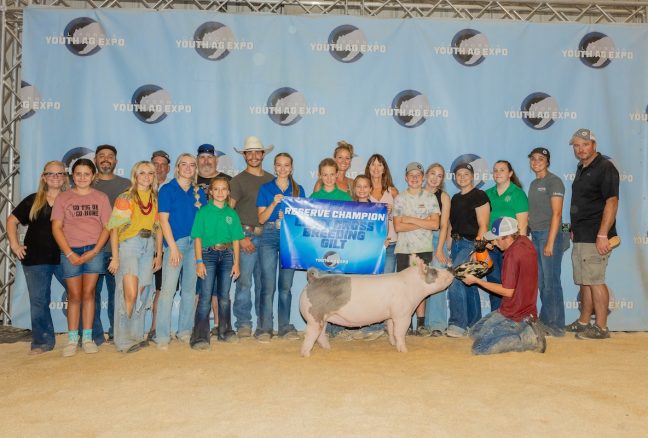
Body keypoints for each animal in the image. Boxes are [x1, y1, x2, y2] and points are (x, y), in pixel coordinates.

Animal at [298, 255, 450, 358]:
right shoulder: (403, 314)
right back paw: (306, 354)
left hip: (323, 318)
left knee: (321, 335)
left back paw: (328, 349)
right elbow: (400, 332)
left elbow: (391, 330)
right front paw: (404, 351)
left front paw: (393, 344)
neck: (413, 286)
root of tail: (313, 280)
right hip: (314, 316)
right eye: (434, 272)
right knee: (310, 334)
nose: (452, 271)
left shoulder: (391, 315)